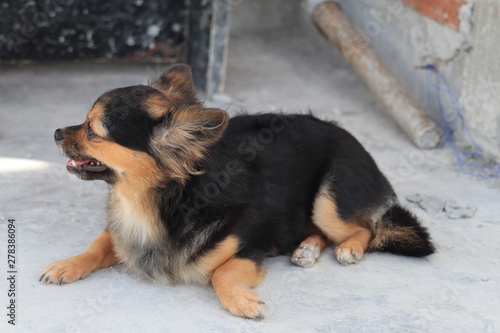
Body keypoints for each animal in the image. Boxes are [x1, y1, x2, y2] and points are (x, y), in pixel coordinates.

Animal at [41, 63, 434, 320]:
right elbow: (98, 244)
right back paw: (306, 249)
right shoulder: (123, 233)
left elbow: (220, 273)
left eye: (92, 131)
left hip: (329, 199)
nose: (57, 132)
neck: (153, 203)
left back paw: (349, 248)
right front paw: (68, 264)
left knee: (366, 226)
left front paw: (241, 301)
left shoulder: (248, 251)